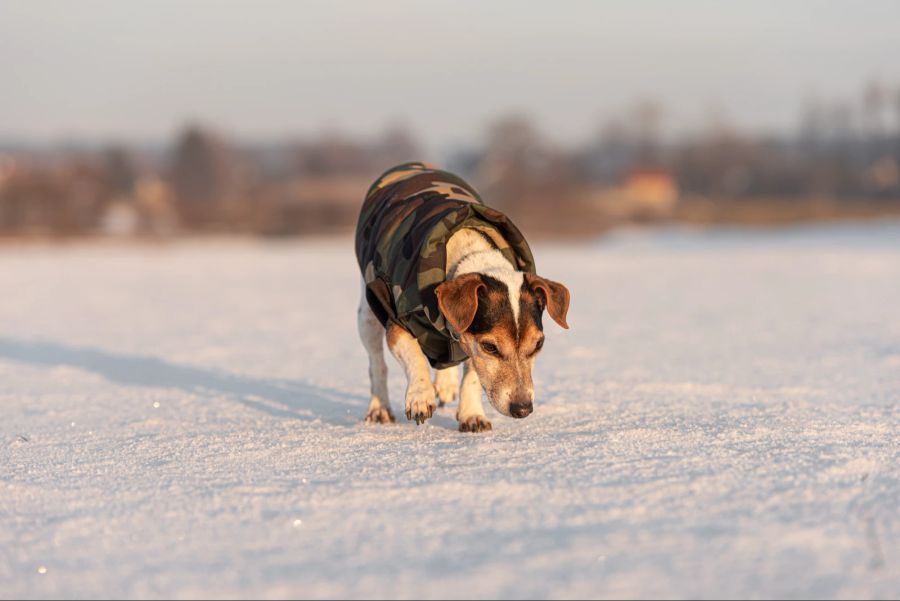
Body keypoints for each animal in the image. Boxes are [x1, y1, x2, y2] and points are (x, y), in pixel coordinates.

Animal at [354, 162, 568, 428]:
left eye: (538, 344)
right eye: (490, 347)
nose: (522, 409)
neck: (471, 255)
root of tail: (414, 165)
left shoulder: (468, 339)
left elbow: (473, 374)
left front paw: (471, 414)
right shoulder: (397, 319)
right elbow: (414, 356)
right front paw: (420, 397)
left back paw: (446, 383)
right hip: (368, 311)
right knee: (377, 364)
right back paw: (379, 408)